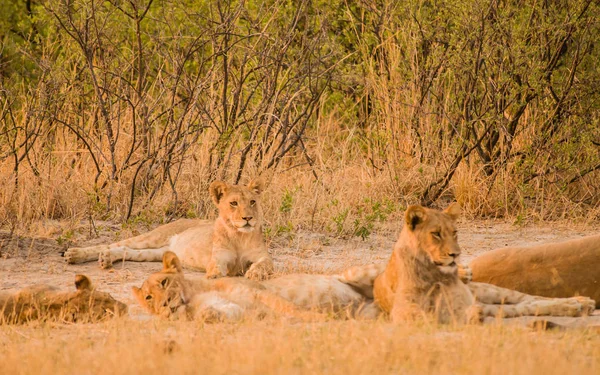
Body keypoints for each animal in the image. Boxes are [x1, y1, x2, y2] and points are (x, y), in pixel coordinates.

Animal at [63, 181, 274, 280]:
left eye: (252, 202)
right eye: (233, 203)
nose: (248, 218)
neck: (239, 235)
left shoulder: (263, 257)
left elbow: (264, 264)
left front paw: (255, 274)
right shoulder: (219, 256)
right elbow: (216, 266)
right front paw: (214, 275)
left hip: (158, 252)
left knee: (128, 251)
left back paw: (106, 259)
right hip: (155, 236)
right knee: (110, 244)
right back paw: (74, 254)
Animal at [132, 251, 380, 322]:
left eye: (164, 282)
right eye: (148, 298)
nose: (164, 304)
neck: (192, 296)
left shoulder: (259, 293)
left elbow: (292, 309)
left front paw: (324, 318)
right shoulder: (234, 307)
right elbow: (214, 313)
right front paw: (208, 315)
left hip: (357, 273)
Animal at [372, 204, 592, 324]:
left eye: (454, 233)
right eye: (436, 234)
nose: (456, 254)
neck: (432, 273)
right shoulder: (404, 310)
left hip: (492, 291)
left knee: (529, 299)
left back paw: (580, 303)